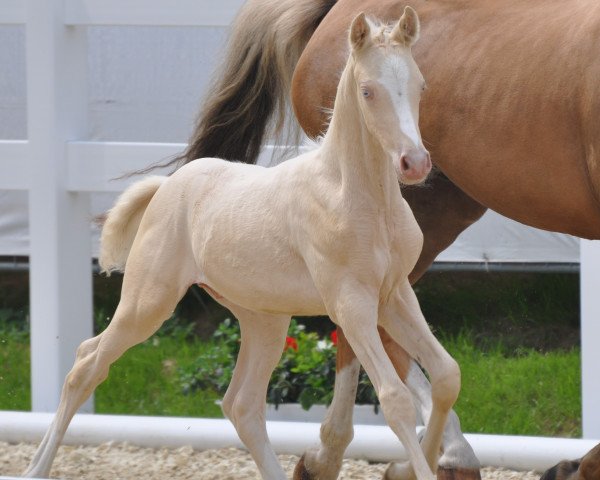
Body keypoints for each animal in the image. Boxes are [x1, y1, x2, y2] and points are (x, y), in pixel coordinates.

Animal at [21, 8, 458, 480]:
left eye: (420, 85)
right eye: (368, 90)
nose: (415, 163)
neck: (357, 197)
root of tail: (167, 187)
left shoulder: (393, 295)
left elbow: (446, 375)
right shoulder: (350, 302)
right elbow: (395, 399)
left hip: (263, 318)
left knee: (242, 405)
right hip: (148, 301)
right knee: (87, 363)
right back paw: (35, 468)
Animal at [168, 0, 600, 480]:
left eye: (420, 86)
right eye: (369, 91)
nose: (415, 161)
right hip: (418, 216)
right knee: (365, 333)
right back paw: (368, 456)